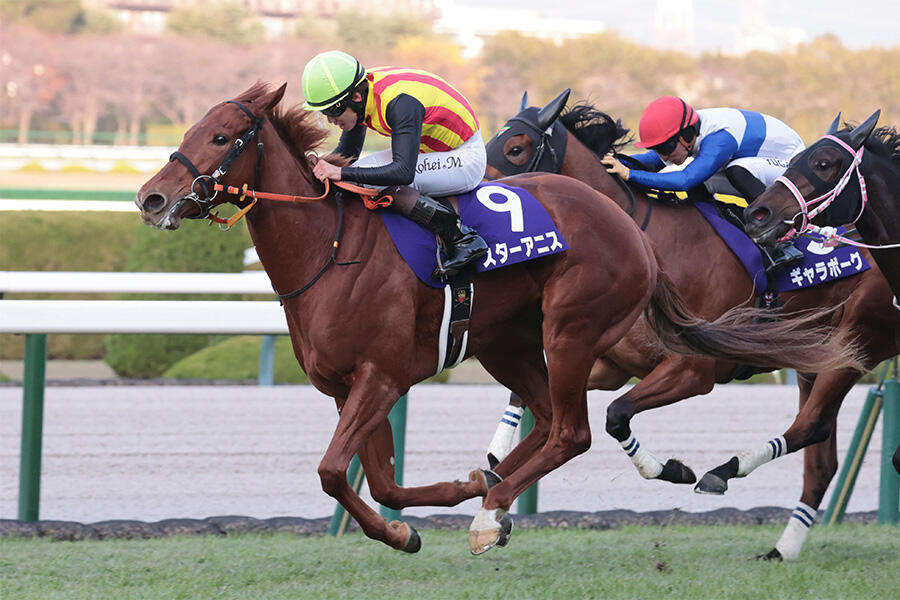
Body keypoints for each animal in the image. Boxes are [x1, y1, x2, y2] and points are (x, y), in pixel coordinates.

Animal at [136, 82, 860, 555]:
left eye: (222, 137)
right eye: (190, 131)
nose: (151, 198)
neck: (331, 248)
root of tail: (629, 229)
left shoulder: (383, 377)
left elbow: (333, 472)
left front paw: (435, 514)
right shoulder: (350, 388)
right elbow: (381, 481)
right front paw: (411, 524)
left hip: (571, 330)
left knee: (571, 430)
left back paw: (492, 513)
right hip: (508, 341)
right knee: (543, 419)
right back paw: (493, 492)